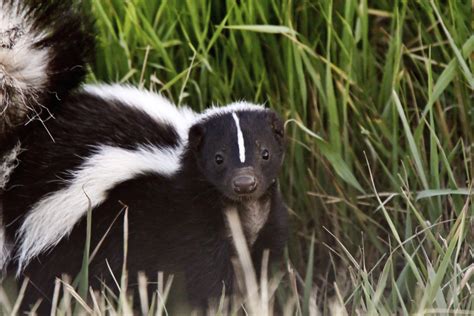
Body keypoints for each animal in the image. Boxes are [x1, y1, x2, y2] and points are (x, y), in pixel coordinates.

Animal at [0, 0, 288, 312]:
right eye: (218, 158)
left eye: (265, 153)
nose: (245, 183)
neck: (242, 212)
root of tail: (23, 142)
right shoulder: (191, 224)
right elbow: (206, 279)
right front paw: (222, 305)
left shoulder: (266, 225)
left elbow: (266, 271)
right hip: (65, 239)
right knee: (50, 287)